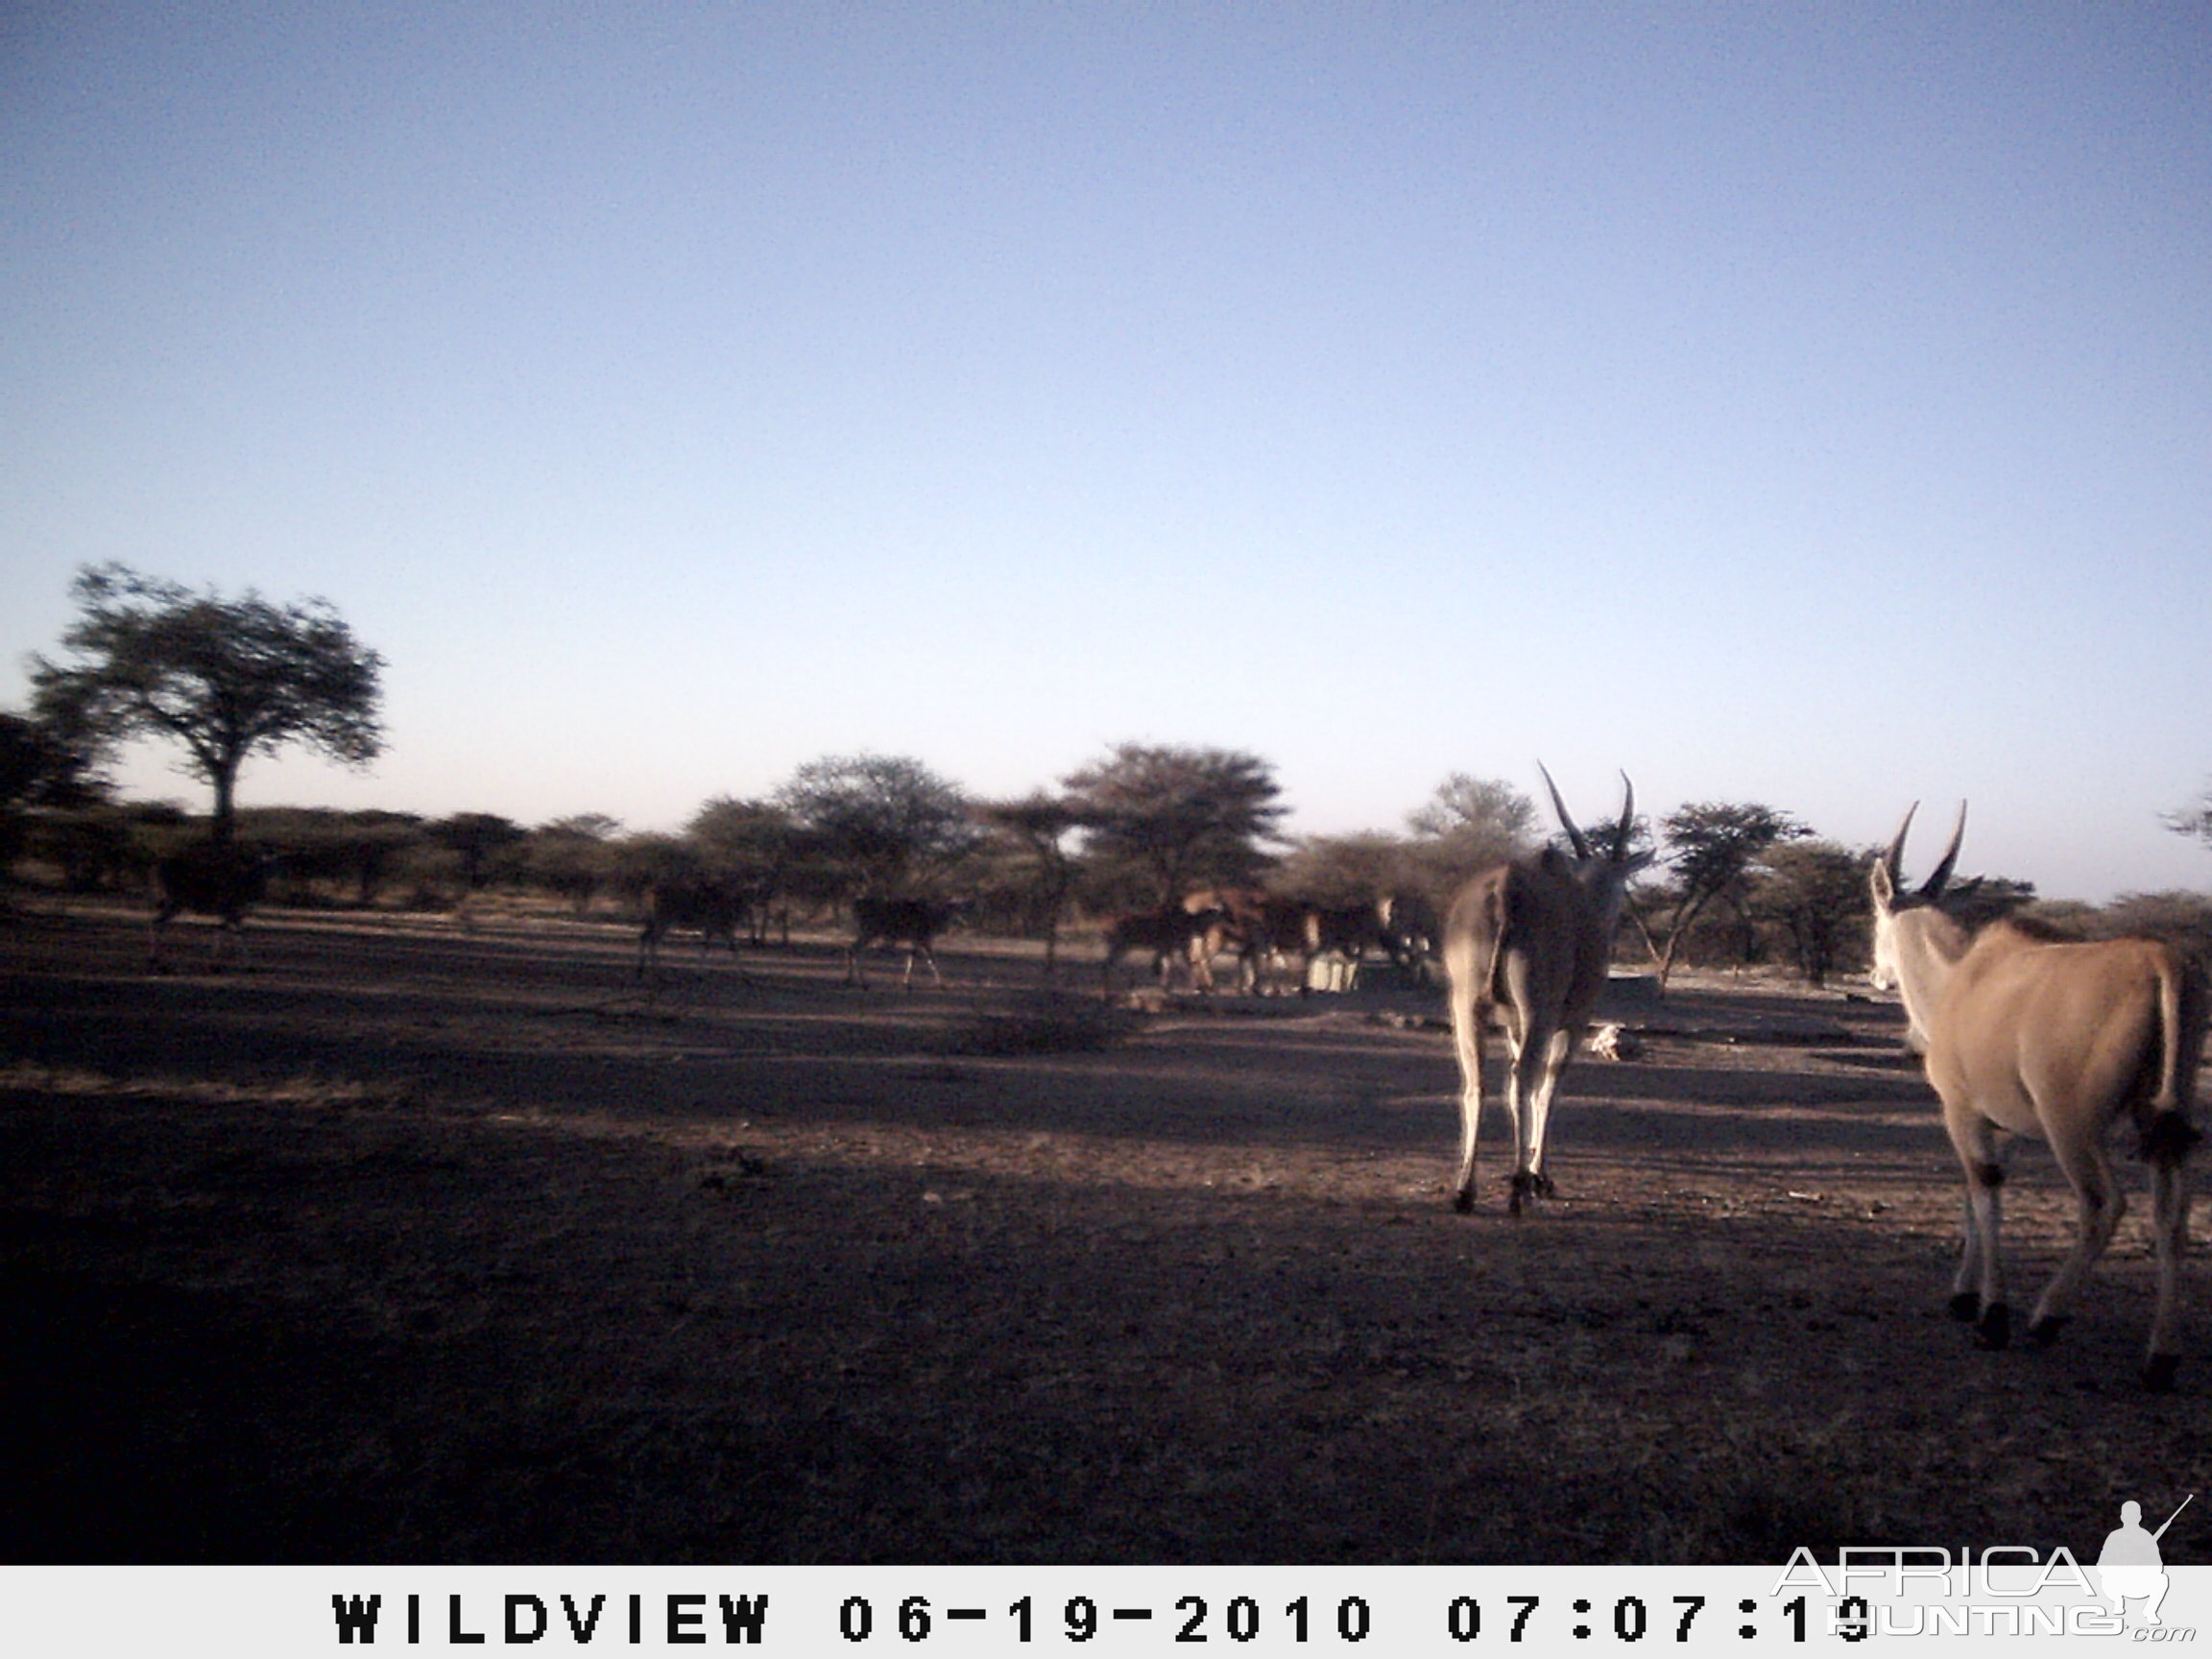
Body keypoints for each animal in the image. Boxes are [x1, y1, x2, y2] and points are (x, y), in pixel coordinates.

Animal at [1442, 769, 1654, 1220]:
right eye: (1621, 879)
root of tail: (1506, 889)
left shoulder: (1513, 1025)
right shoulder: (1572, 1023)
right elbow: (1549, 1088)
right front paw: (1540, 1177)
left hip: (1468, 1007)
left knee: (1477, 1083)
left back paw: (1465, 1191)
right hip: (1538, 1010)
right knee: (1525, 1080)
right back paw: (1519, 1193)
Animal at [1875, 805, 2202, 1388]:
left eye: (1875, 916)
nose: (1876, 972)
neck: (1958, 977)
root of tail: (2161, 961)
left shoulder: (1962, 1112)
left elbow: (1984, 1195)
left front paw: (1991, 1314)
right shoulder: (1999, 1125)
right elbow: (1975, 1197)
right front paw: (1967, 1296)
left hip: (2070, 1124)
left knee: (2104, 1204)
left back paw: (2046, 1316)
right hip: (2160, 1121)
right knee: (2173, 1217)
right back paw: (2160, 1357)